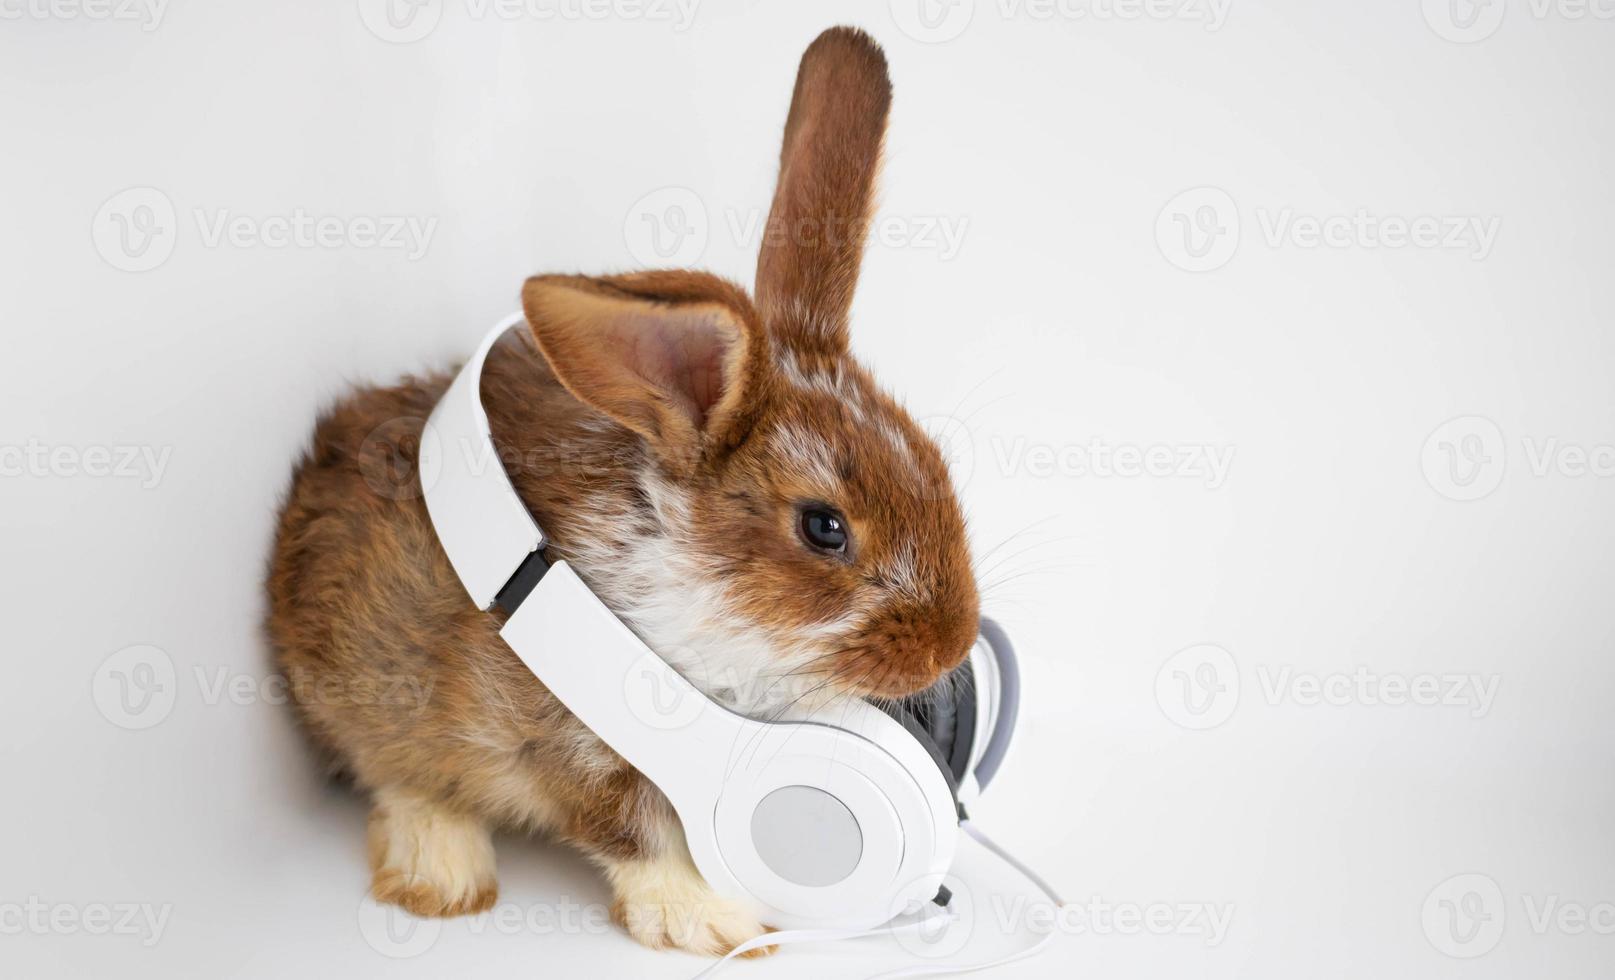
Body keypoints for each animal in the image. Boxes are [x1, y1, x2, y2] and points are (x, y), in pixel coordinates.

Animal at [266, 26, 975, 962]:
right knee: (399, 777)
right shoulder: (569, 741)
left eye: (935, 462)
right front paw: (708, 921)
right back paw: (441, 874)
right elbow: (632, 833)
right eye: (824, 528)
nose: (949, 647)